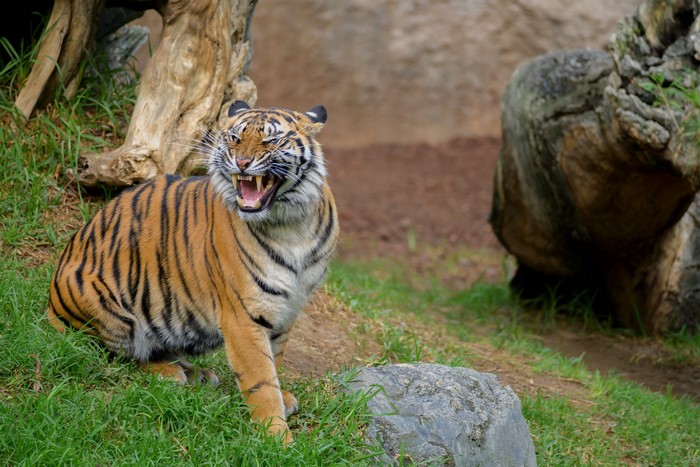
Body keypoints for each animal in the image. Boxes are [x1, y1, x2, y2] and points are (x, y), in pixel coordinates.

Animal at [47, 100, 339, 443]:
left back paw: (197, 373)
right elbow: (261, 377)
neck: (292, 225)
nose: (242, 162)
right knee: (122, 355)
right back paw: (174, 374)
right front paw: (277, 436)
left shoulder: (289, 307)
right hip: (108, 310)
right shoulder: (243, 316)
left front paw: (284, 399)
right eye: (234, 138)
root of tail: (49, 303)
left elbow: (275, 358)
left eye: (271, 140)